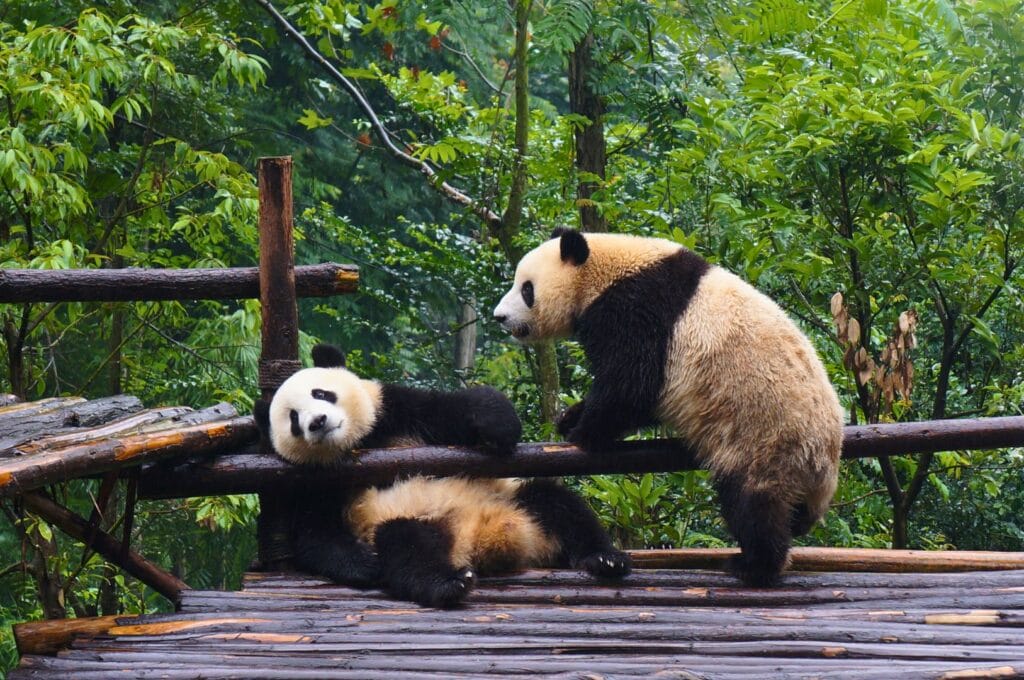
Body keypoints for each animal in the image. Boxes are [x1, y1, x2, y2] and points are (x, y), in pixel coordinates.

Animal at [251, 342, 626, 606]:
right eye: (293, 419)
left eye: (321, 393)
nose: (317, 422)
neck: (361, 443)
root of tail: (488, 540)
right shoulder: (313, 481)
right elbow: (316, 533)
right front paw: (364, 563)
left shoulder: (396, 413)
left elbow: (454, 408)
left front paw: (498, 427)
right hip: (411, 520)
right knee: (406, 548)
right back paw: (449, 583)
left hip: (512, 499)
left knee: (556, 503)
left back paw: (604, 559)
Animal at [491, 227, 843, 585]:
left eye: (527, 289)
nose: (499, 317)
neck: (601, 274)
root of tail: (825, 465)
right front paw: (569, 417)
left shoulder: (636, 310)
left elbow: (633, 382)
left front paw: (584, 432)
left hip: (768, 438)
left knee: (752, 503)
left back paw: (755, 564)